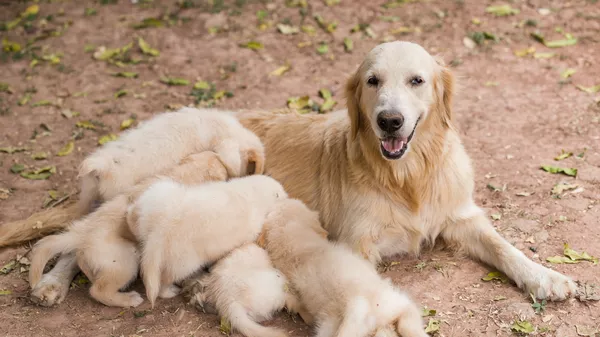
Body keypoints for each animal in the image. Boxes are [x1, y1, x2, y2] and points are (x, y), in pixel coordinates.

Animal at [127, 172, 288, 306]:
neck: (252, 192)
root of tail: (161, 228)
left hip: (158, 196)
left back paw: (131, 212)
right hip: (184, 264)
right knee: (165, 280)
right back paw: (169, 292)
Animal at [231, 40, 576, 300]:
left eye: (416, 80)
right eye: (372, 81)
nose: (390, 121)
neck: (407, 177)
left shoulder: (460, 216)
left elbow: (503, 246)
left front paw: (544, 276)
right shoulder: (355, 245)